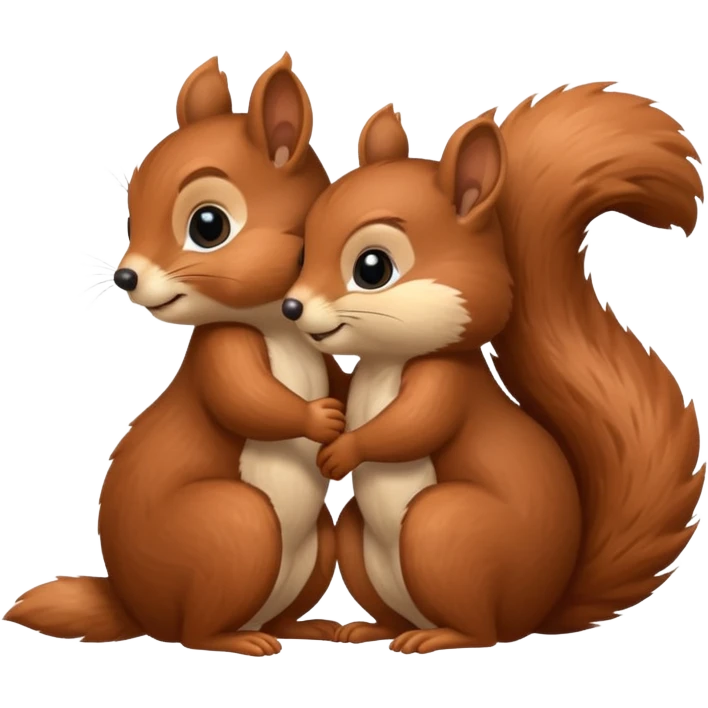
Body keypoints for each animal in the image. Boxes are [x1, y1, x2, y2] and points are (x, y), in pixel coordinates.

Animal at [3, 53, 352, 657]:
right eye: (129, 218)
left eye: (207, 225)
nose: (125, 276)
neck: (273, 323)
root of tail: (135, 608)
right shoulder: (224, 347)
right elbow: (247, 399)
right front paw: (319, 417)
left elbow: (331, 375)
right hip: (236, 526)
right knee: (195, 631)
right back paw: (240, 640)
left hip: (314, 548)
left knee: (273, 614)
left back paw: (302, 628)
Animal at [281, 87, 705, 654]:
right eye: (303, 249)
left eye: (373, 268)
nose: (292, 307)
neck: (388, 359)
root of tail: (540, 608)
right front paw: (326, 418)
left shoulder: (446, 382)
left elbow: (412, 426)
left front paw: (344, 450)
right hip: (361, 540)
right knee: (401, 608)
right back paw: (375, 628)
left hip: (442, 529)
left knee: (482, 628)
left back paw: (438, 637)